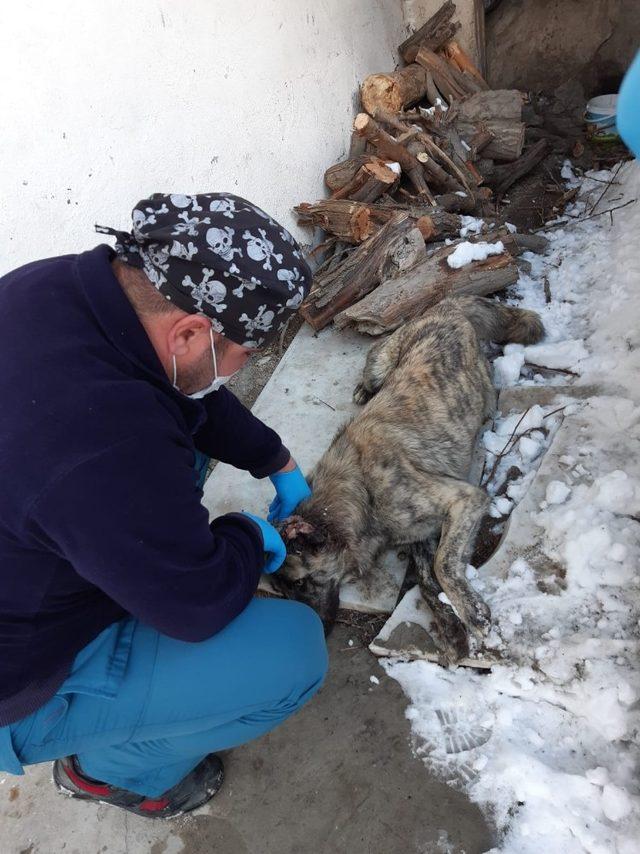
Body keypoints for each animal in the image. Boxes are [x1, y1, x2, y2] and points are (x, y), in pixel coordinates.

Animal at [272, 294, 544, 664]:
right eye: (282, 593)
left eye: (300, 583)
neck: (360, 491)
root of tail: (446, 307)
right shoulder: (422, 533)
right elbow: (428, 581)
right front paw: (451, 629)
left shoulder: (464, 500)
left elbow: (443, 566)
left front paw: (472, 613)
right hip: (382, 368)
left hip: (398, 366)